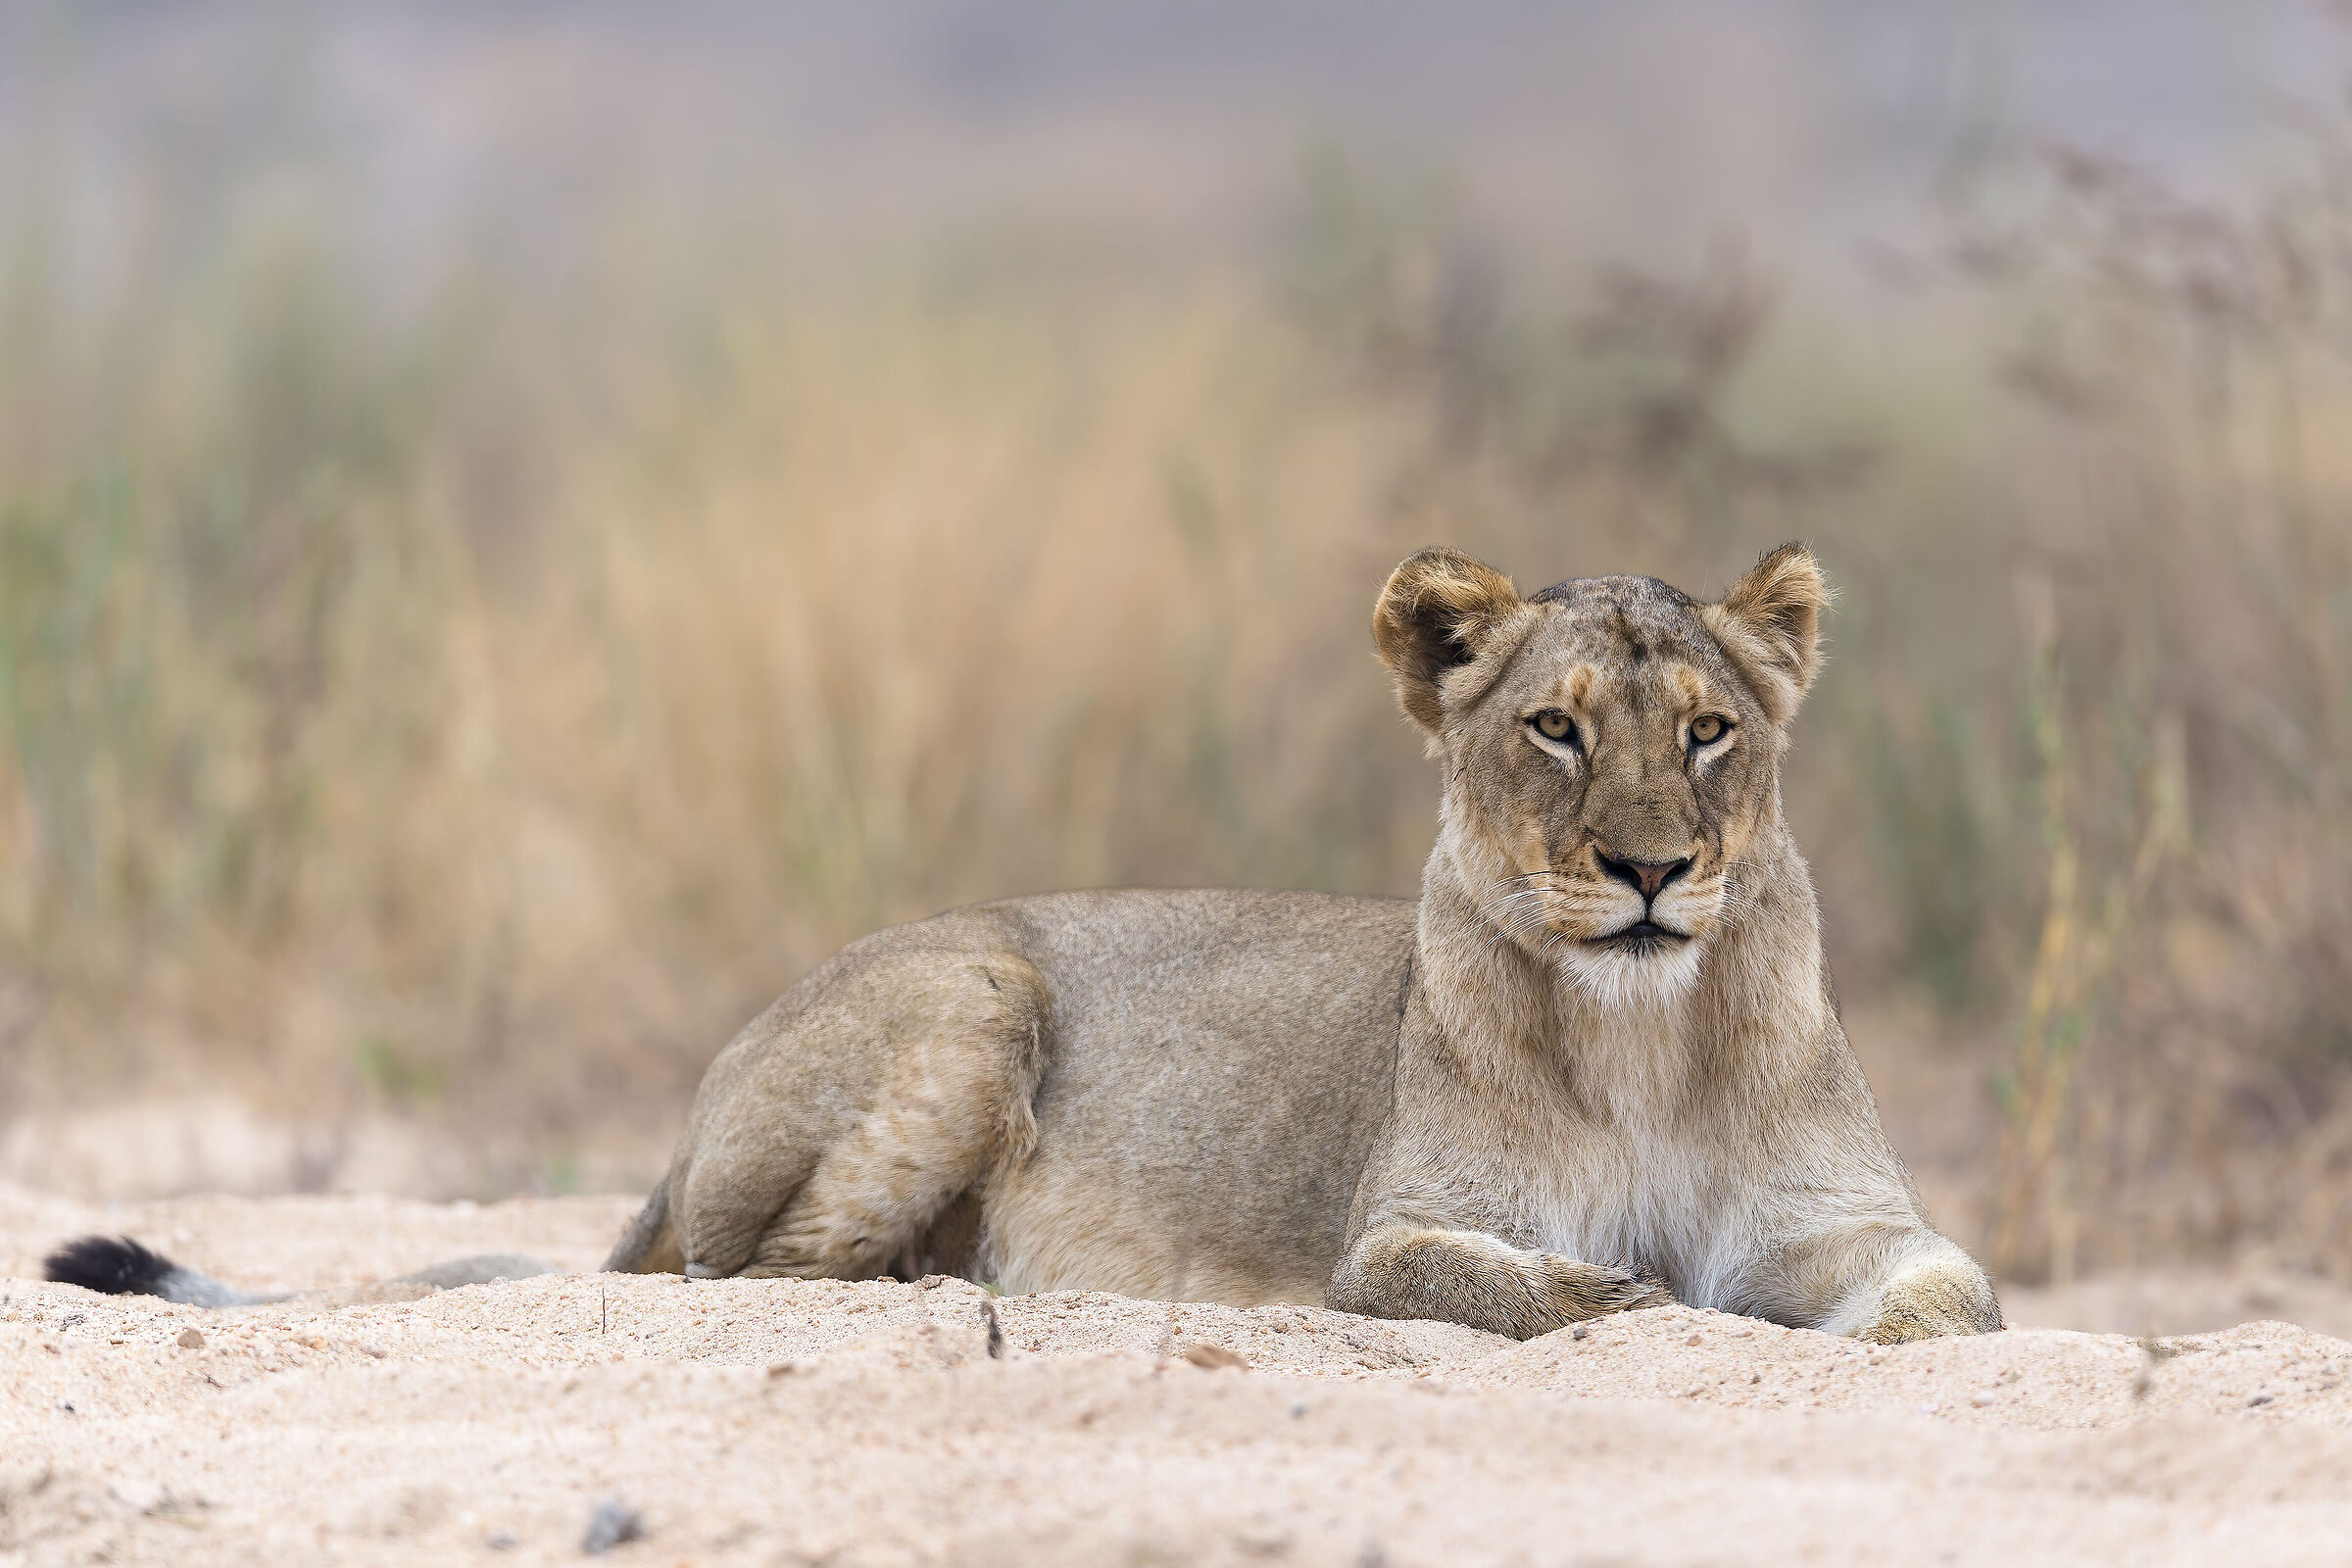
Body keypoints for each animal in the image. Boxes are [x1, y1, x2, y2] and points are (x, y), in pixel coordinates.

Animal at [45, 544, 1998, 1344]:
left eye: (1713, 733)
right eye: (1557, 731)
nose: (1654, 869)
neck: (1642, 1029)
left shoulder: (1844, 1229)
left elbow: (1947, 1305)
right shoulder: (1395, 1234)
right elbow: (1491, 1281)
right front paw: (1619, 1296)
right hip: (975, 988)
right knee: (738, 1278)